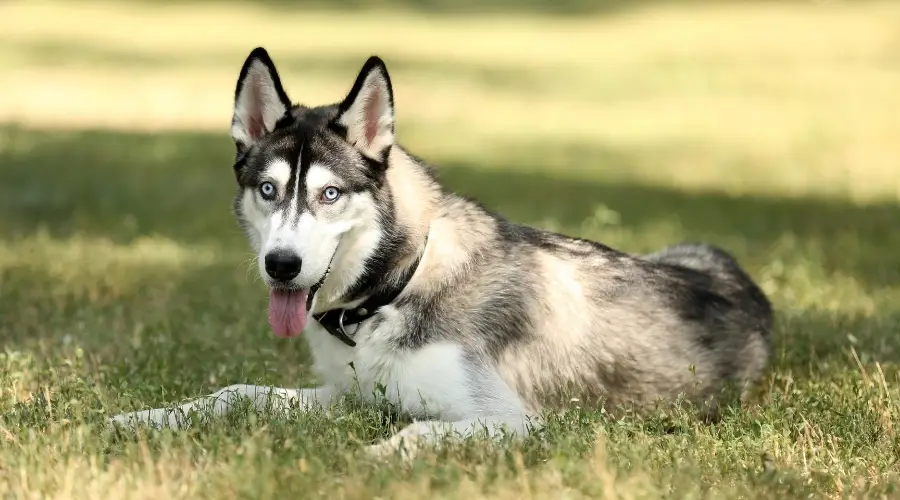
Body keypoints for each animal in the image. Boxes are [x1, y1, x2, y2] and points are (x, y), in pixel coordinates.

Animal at [110, 48, 772, 458]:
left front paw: (372, 457)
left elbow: (417, 434)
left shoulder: (511, 421)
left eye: (330, 194)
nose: (282, 266)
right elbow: (239, 393)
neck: (393, 289)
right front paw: (145, 419)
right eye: (267, 190)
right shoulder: (350, 393)